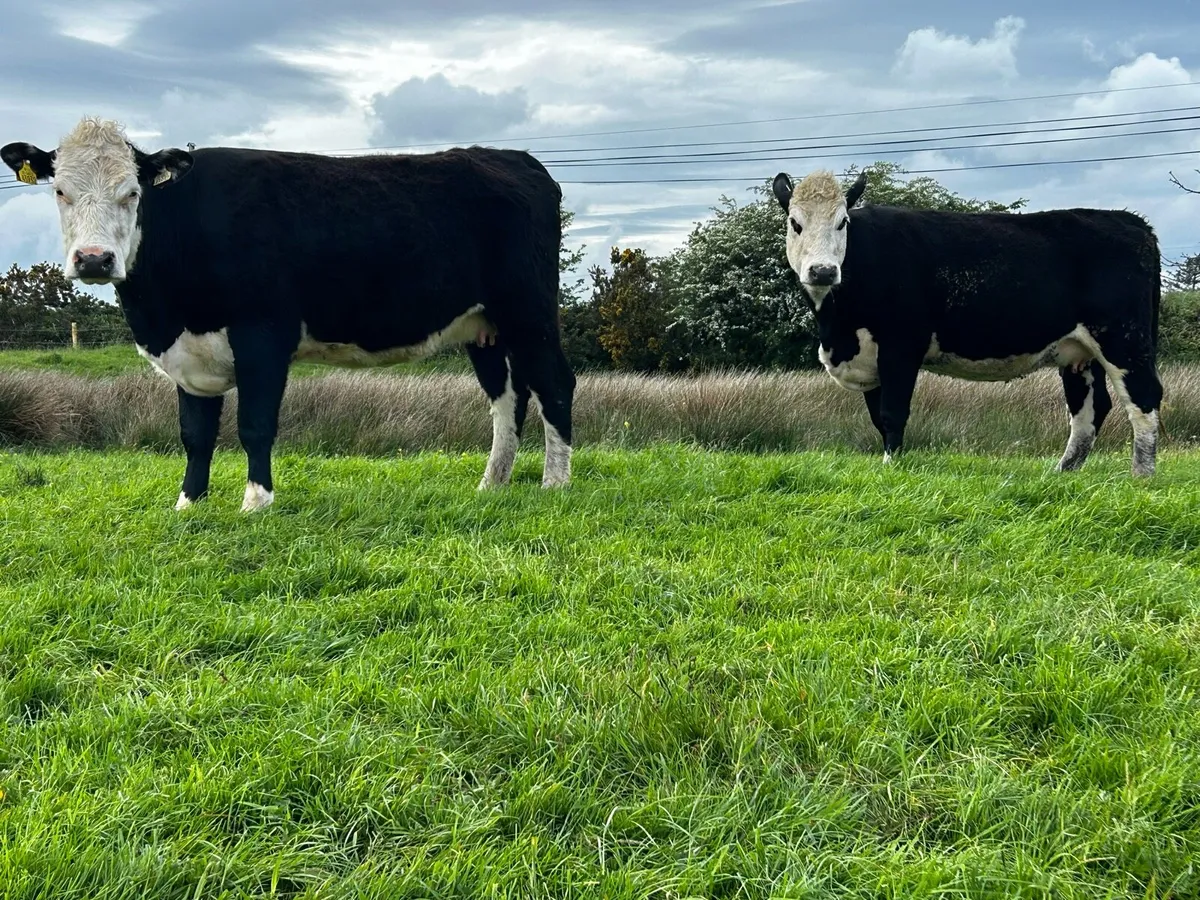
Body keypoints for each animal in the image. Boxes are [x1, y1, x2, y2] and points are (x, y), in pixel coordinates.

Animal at [2, 117, 576, 512]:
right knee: (507, 398)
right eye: (60, 191)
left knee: (554, 383)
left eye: (132, 192)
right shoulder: (190, 352)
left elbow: (255, 424)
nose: (94, 259)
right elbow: (195, 433)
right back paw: (492, 484)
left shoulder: (263, 334)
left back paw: (555, 481)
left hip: (529, 311)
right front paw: (190, 503)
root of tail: (514, 158)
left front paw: (256, 502)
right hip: (484, 327)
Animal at [771, 168, 1164, 476]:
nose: (823, 270)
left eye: (842, 222)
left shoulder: (901, 345)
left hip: (1123, 339)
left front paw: (892, 467)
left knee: (1144, 396)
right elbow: (877, 417)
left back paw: (1141, 475)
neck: (837, 328)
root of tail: (1129, 221)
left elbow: (892, 412)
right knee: (1089, 409)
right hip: (1079, 351)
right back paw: (1062, 472)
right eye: (795, 223)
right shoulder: (868, 357)